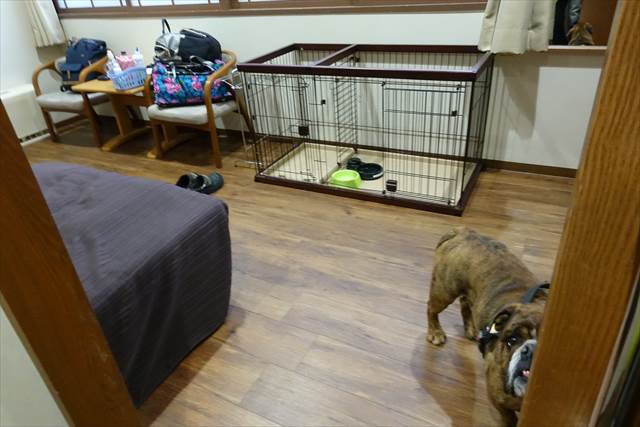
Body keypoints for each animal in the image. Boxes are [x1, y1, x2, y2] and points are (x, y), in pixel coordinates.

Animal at [426, 228, 548, 426]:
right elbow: (508, 418)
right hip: (444, 291)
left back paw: (471, 330)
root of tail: (462, 231)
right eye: (512, 340)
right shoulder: (498, 397)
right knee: (431, 308)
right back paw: (435, 332)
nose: (530, 351)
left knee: (465, 305)